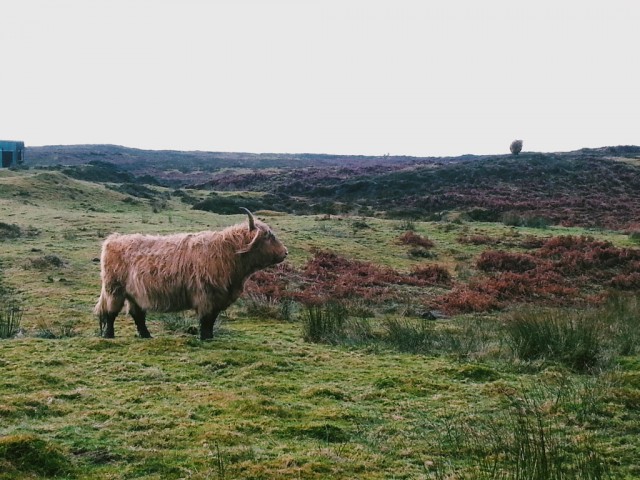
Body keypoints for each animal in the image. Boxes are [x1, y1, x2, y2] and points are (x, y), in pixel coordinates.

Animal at [94, 208, 288, 340]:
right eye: (268, 236)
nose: (285, 252)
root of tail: (113, 239)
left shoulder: (218, 298)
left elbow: (212, 319)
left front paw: (210, 337)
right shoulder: (205, 295)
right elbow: (205, 319)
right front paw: (204, 338)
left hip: (134, 293)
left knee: (138, 314)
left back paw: (146, 335)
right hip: (114, 289)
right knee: (111, 313)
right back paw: (109, 335)